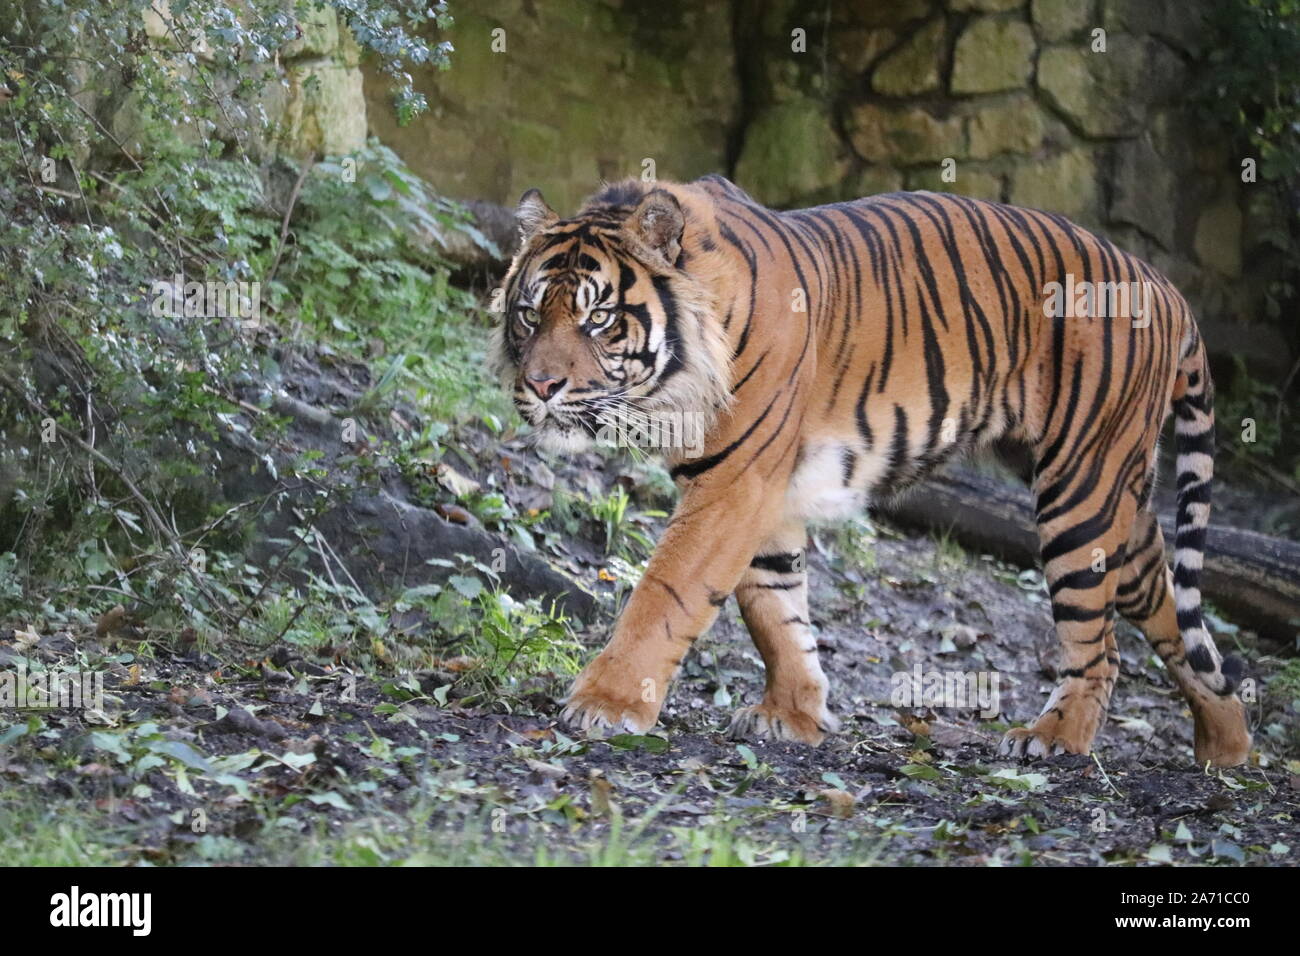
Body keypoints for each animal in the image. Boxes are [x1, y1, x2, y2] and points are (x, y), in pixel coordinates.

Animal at [490, 173, 1251, 767]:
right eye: (529, 314)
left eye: (598, 319)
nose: (540, 386)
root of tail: (1165, 287)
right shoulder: (765, 490)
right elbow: (775, 609)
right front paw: (795, 713)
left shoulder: (735, 483)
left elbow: (667, 594)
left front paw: (605, 703)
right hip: (1113, 495)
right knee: (1171, 610)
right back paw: (1227, 746)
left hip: (1080, 493)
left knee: (1100, 644)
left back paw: (1055, 737)